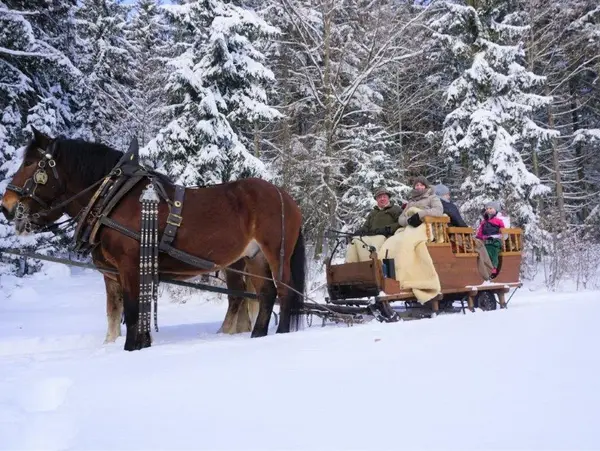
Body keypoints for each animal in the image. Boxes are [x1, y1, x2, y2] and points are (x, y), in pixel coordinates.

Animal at [1, 129, 304, 352]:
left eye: (30, 164)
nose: (7, 205)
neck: (113, 196)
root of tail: (285, 196)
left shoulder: (129, 266)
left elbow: (134, 312)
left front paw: (131, 348)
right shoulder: (114, 273)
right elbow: (115, 313)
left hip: (275, 254)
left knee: (284, 293)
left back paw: (281, 335)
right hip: (253, 257)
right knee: (265, 295)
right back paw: (257, 336)